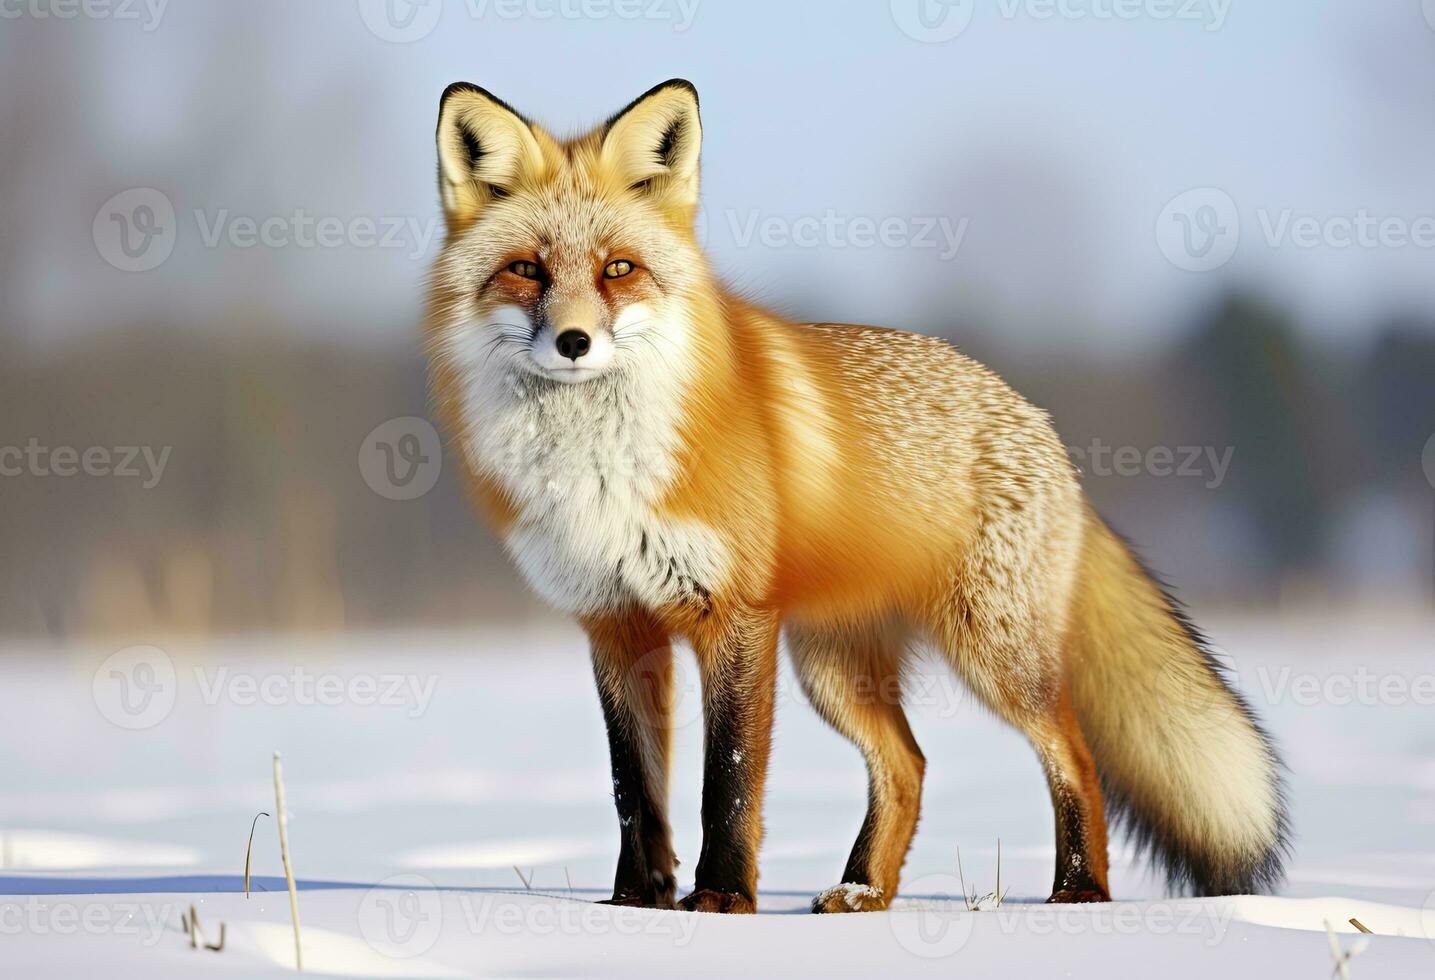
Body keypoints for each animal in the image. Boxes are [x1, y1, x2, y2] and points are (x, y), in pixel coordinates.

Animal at [421, 80, 1291, 918]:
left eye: (617, 270)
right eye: (527, 269)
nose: (573, 342)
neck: (599, 476)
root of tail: (1033, 417)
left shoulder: (733, 616)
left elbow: (726, 782)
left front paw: (721, 899)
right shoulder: (614, 625)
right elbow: (633, 790)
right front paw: (634, 903)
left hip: (989, 653)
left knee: (1072, 755)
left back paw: (1077, 894)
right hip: (835, 668)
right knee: (908, 763)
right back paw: (863, 892)